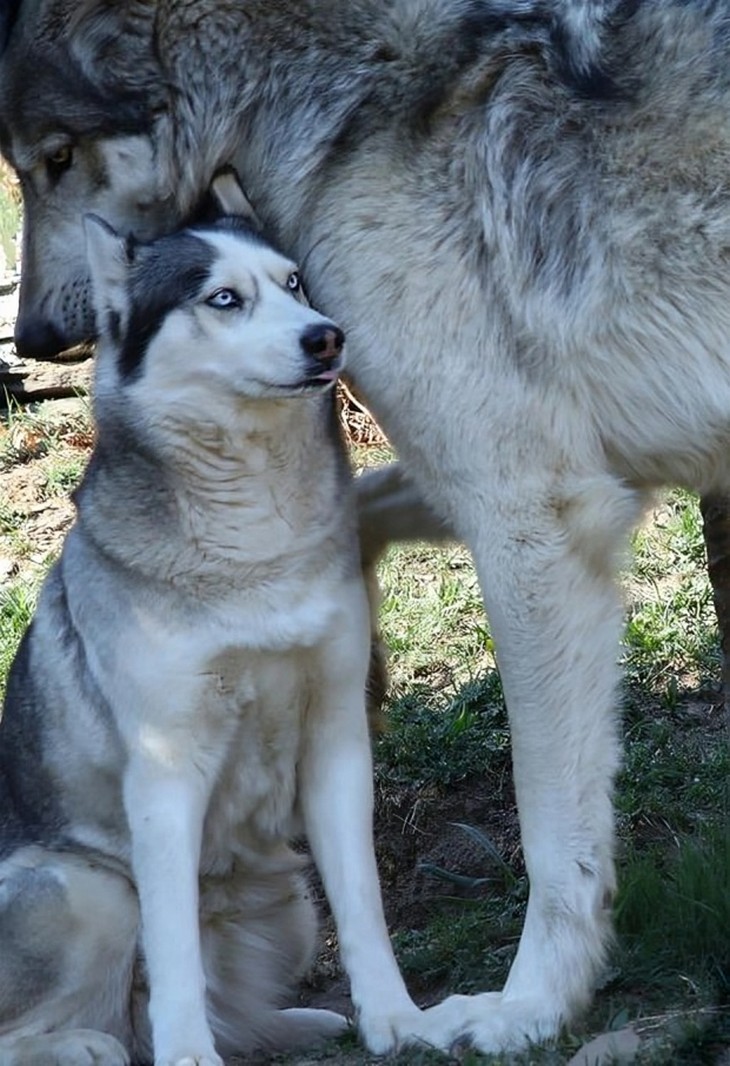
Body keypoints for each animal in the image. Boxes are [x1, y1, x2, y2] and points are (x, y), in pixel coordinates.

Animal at [0, 174, 439, 1066]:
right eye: (224, 299)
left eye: (294, 283)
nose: (326, 337)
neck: (254, 546)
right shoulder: (167, 771)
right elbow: (173, 950)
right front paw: (187, 1055)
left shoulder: (336, 738)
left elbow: (364, 904)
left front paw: (395, 1019)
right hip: (89, 889)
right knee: (66, 1019)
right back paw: (88, 1046)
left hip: (291, 908)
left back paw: (292, 1024)